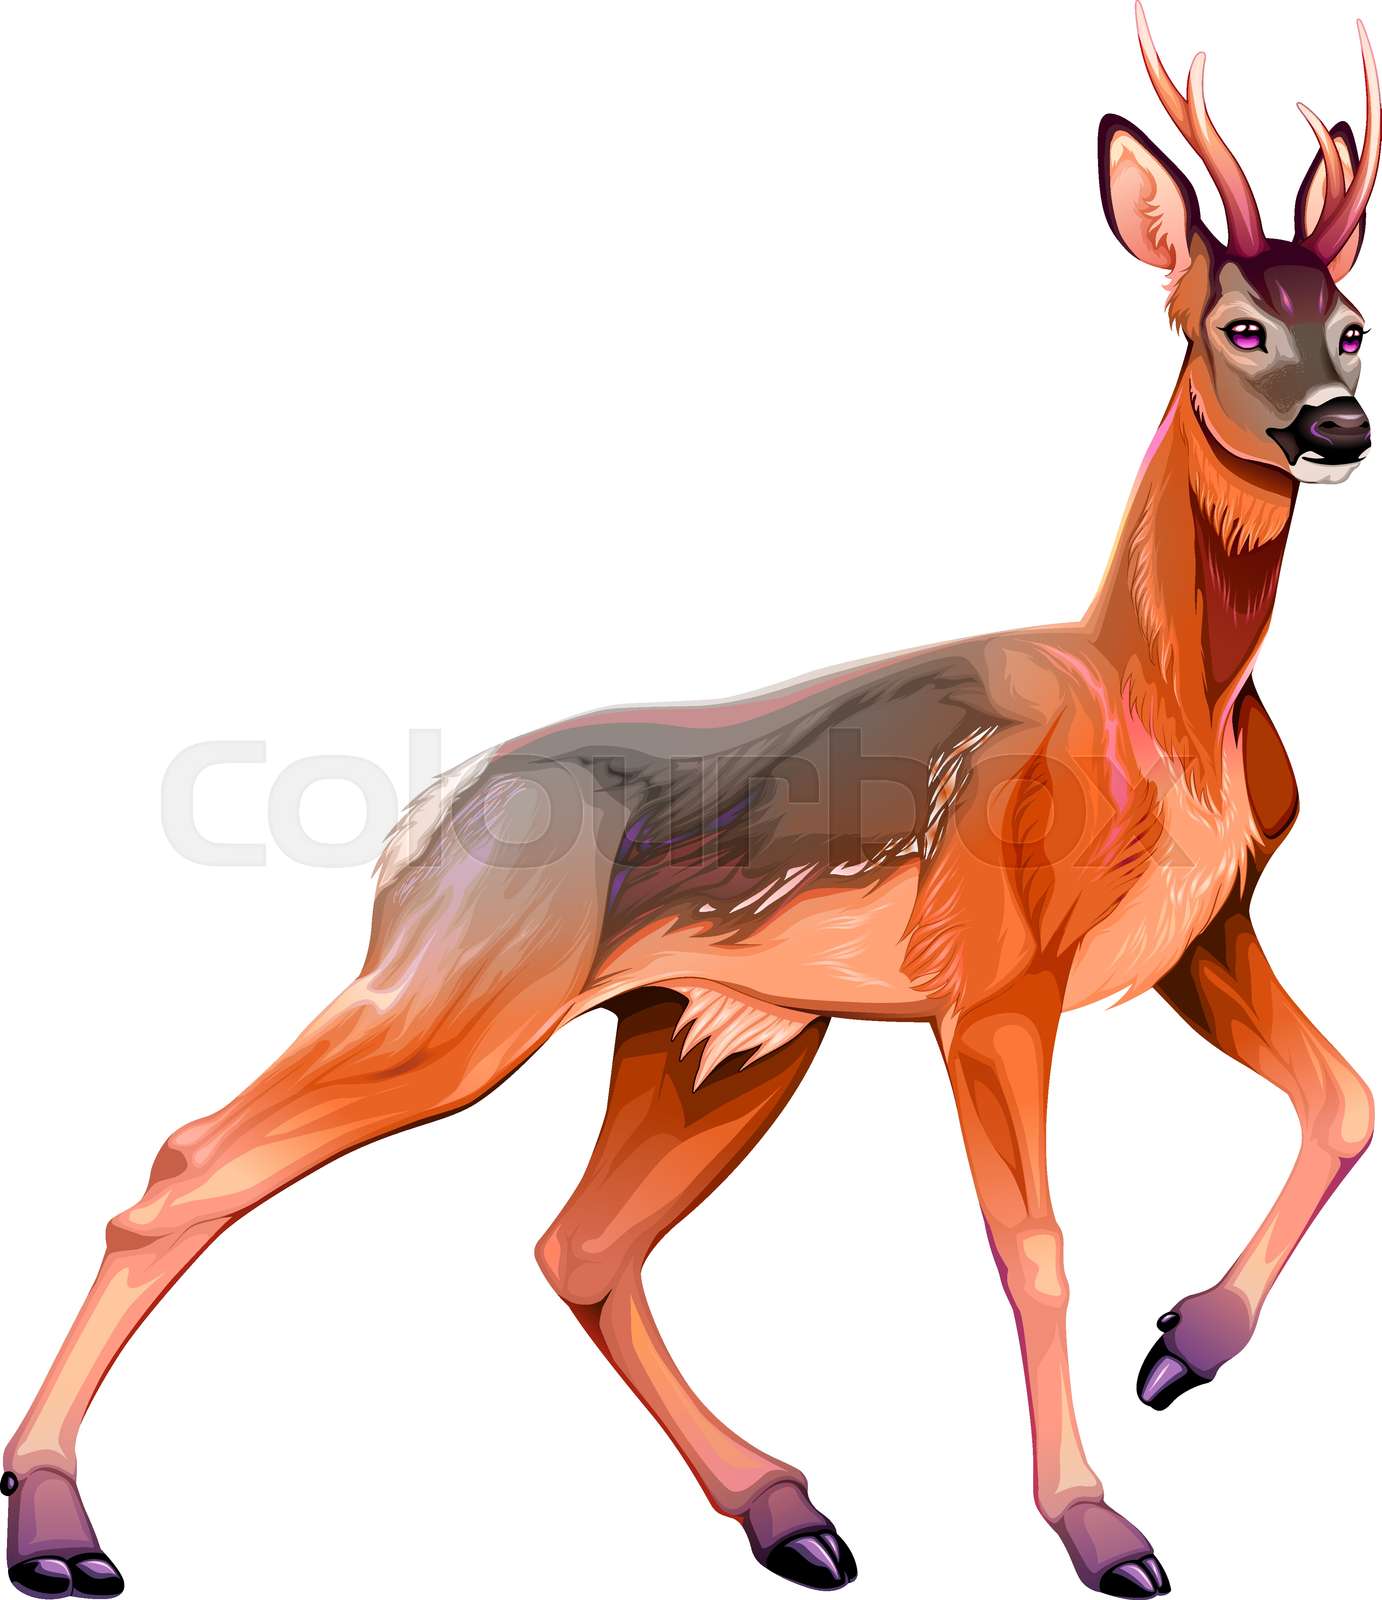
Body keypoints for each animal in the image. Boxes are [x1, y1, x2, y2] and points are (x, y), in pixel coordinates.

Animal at [4, 7, 1376, 1597]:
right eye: (1234, 327)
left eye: (1349, 318)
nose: (1337, 426)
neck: (1151, 704)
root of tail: (422, 826)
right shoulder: (993, 977)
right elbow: (1030, 1244)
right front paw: (1102, 1528)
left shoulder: (1204, 935)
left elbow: (1342, 1098)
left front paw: (1182, 1351)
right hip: (467, 999)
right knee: (191, 1163)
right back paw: (57, 1527)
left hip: (713, 1030)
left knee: (580, 1246)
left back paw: (792, 1510)